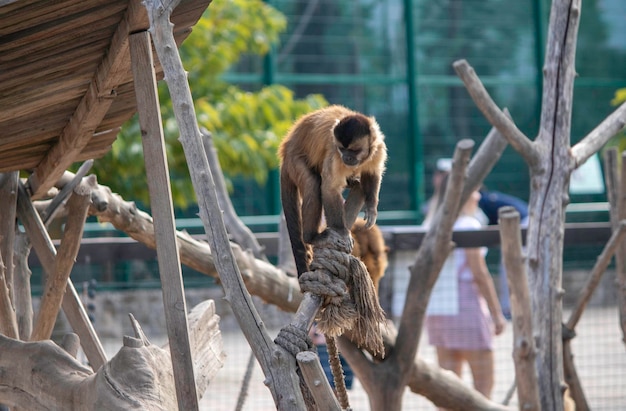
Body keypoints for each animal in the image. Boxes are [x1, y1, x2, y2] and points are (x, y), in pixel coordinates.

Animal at [278, 104, 386, 276]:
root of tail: (285, 149)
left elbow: (372, 173)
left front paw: (371, 208)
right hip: (294, 161)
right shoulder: (334, 152)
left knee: (359, 185)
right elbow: (329, 189)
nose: (347, 158)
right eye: (342, 149)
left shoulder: (378, 147)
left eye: (354, 150)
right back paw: (313, 237)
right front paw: (341, 231)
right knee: (313, 184)